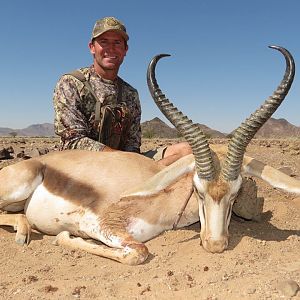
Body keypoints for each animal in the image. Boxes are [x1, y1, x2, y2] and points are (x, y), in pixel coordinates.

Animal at [0, 45, 300, 264]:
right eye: (198, 190)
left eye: (236, 193)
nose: (215, 245)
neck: (161, 198)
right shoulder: (98, 223)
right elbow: (138, 252)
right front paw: (63, 236)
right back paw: (23, 232)